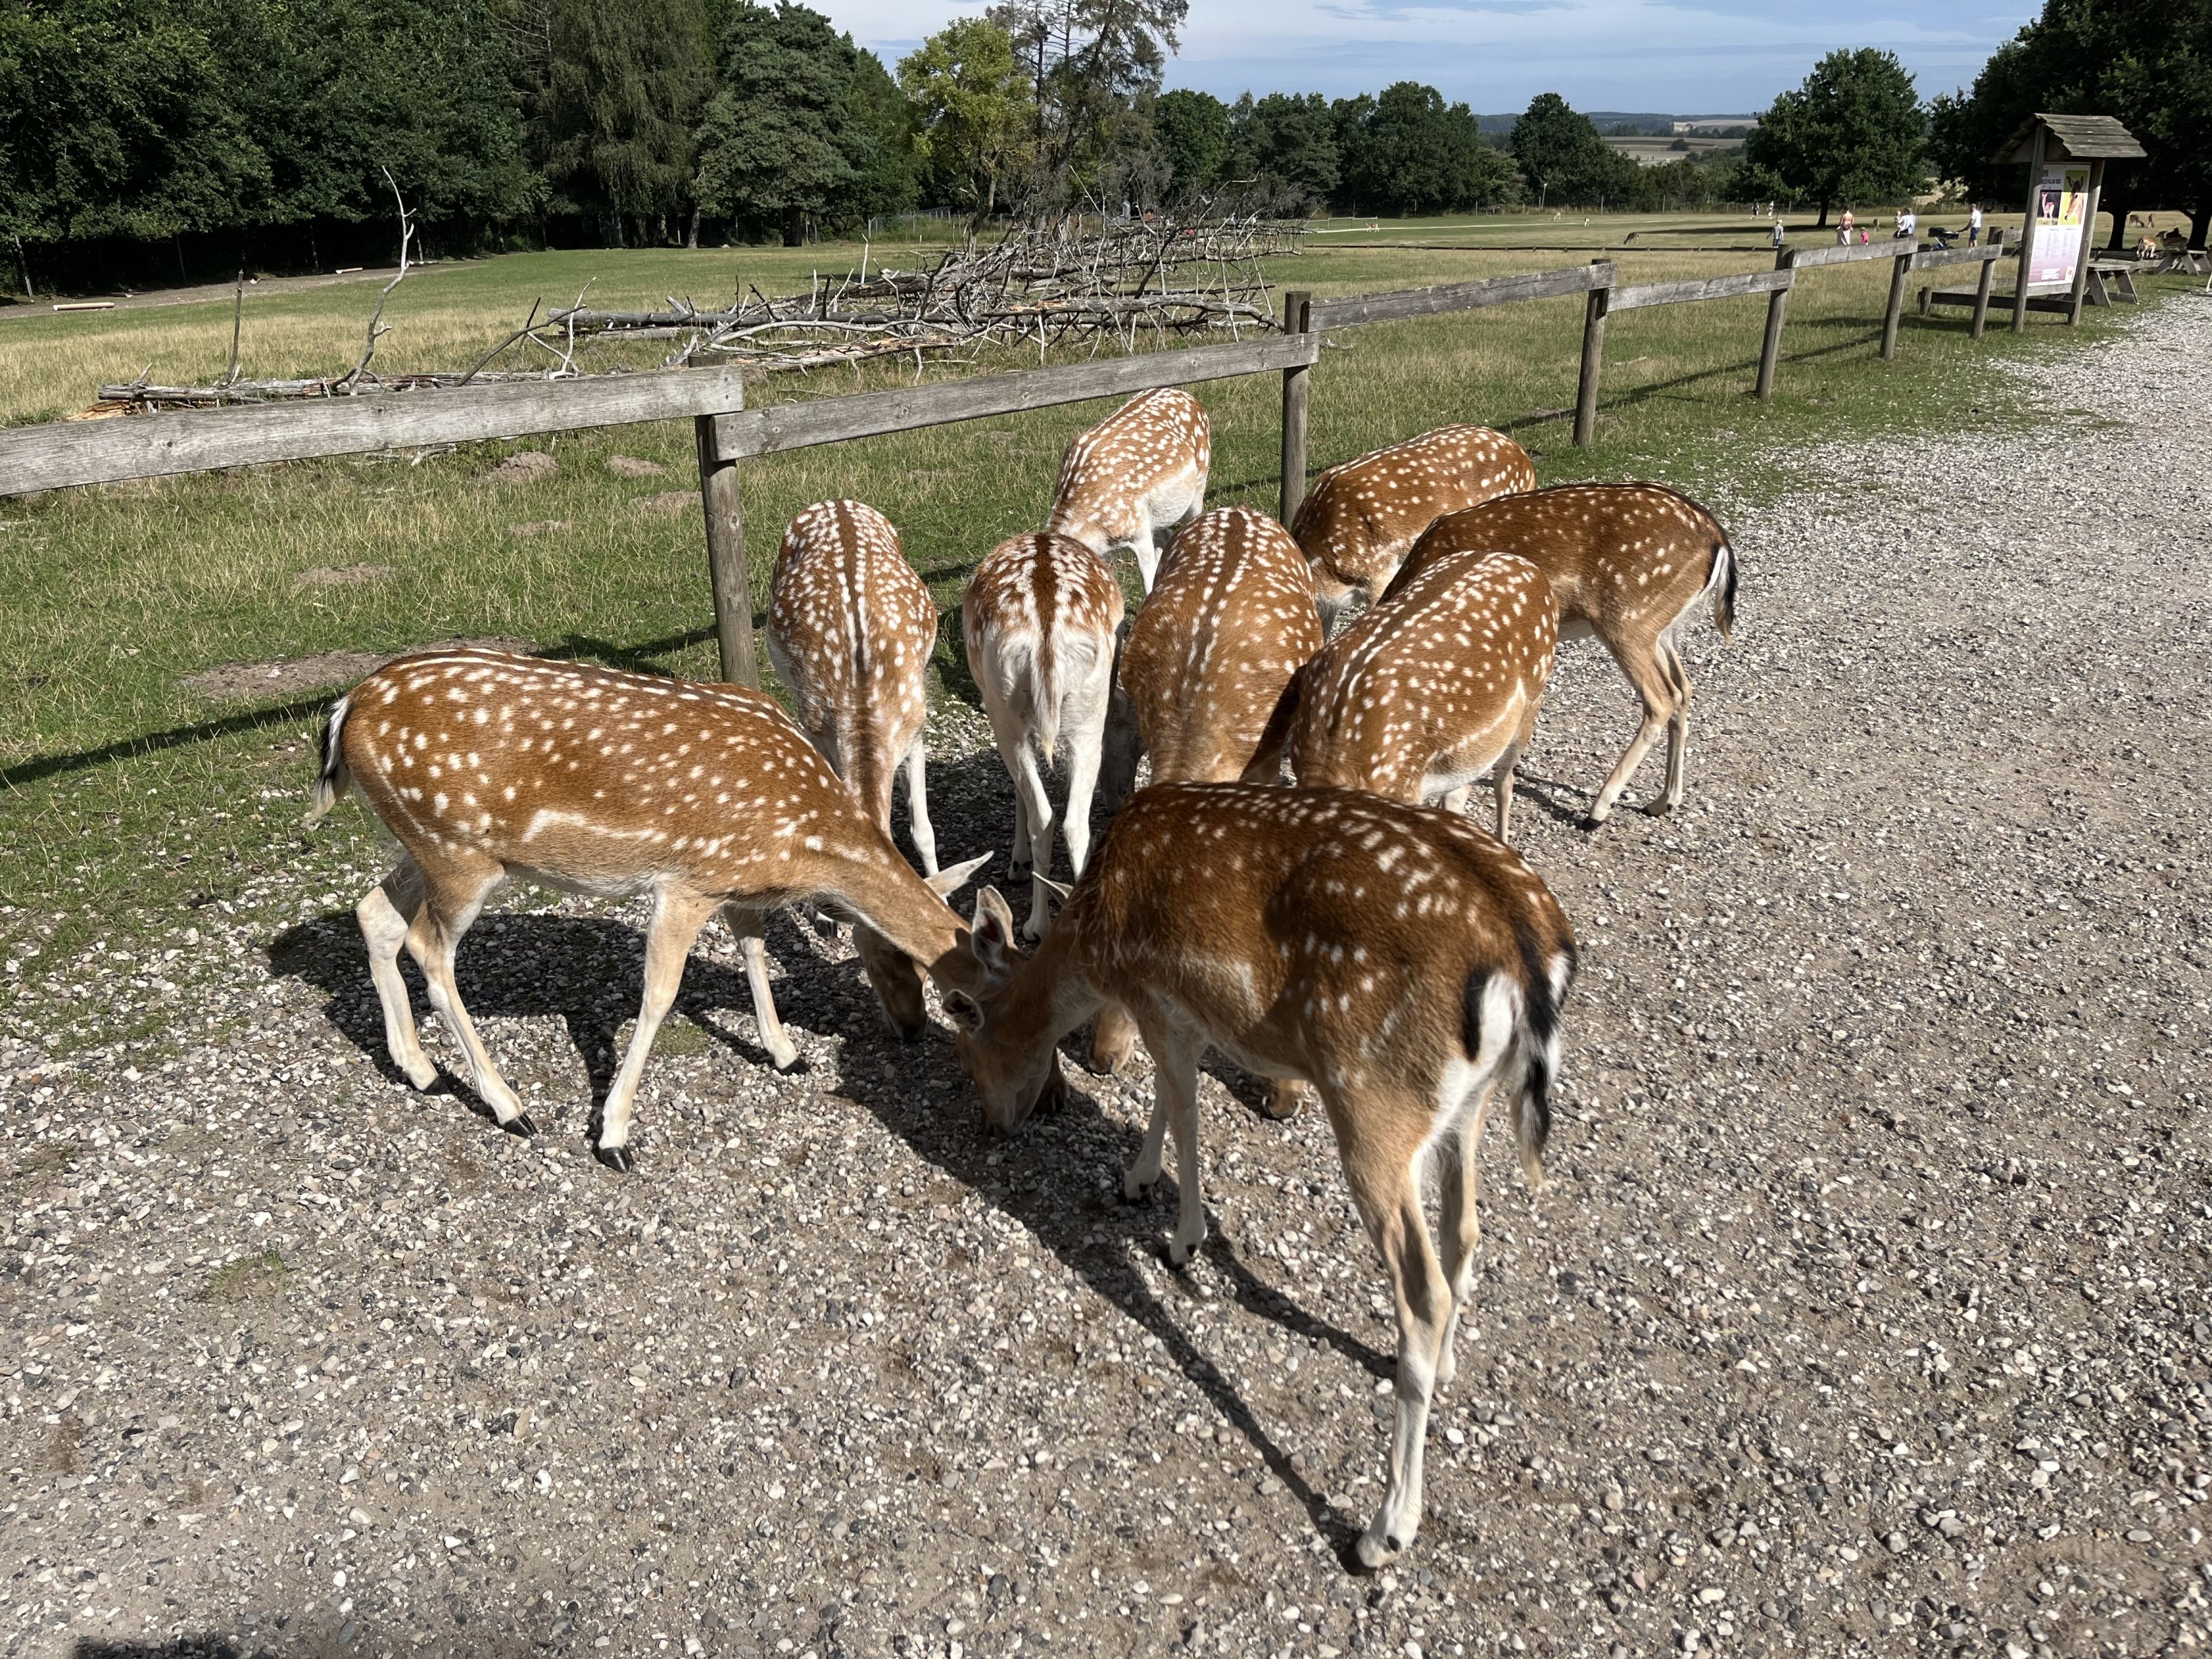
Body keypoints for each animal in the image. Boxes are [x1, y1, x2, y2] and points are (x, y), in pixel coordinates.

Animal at [302, 646, 989, 1170]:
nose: (912, 1031)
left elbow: (755, 950)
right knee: (427, 948)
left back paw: (420, 1070)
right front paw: (613, 1137)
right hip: (458, 854)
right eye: (964, 1004)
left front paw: (786, 1053)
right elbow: (659, 996)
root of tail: (344, 710)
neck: (806, 840)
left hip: (424, 845)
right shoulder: (687, 882)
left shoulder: (732, 880)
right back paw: (511, 1108)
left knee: (374, 913)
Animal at [941, 781, 1578, 1572]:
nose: (993, 1126)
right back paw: (1453, 1365)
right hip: (1468, 1107)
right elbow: (1165, 1098)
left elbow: (1184, 1109)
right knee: (1465, 1233)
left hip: (1375, 1103)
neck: (1094, 947)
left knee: (1423, 1288)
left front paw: (1182, 1240)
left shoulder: (1157, 996)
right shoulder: (1181, 1015)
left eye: (968, 1051)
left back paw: (1384, 1530)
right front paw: (1136, 1180)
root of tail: (1528, 957)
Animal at [962, 532, 1125, 941]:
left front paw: (1016, 865)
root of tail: (1047, 638)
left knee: (1044, 815)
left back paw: (1036, 926)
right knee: (1075, 822)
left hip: (1004, 708)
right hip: (1089, 711)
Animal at [1380, 482, 1737, 824]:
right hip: (1661, 628)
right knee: (1684, 688)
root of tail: (1718, 540)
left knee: (1662, 698)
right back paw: (1663, 801)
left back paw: (1598, 810)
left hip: (1628, 618)